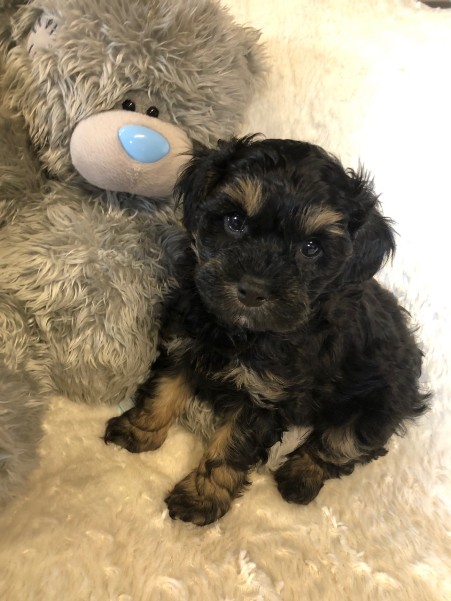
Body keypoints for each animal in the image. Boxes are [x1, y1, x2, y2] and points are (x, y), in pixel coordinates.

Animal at [103, 134, 430, 524]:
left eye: (311, 248)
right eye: (234, 221)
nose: (253, 289)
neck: (241, 331)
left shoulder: (264, 396)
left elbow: (231, 445)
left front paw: (200, 498)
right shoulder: (185, 343)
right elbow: (163, 390)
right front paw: (138, 430)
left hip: (380, 404)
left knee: (342, 445)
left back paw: (299, 478)